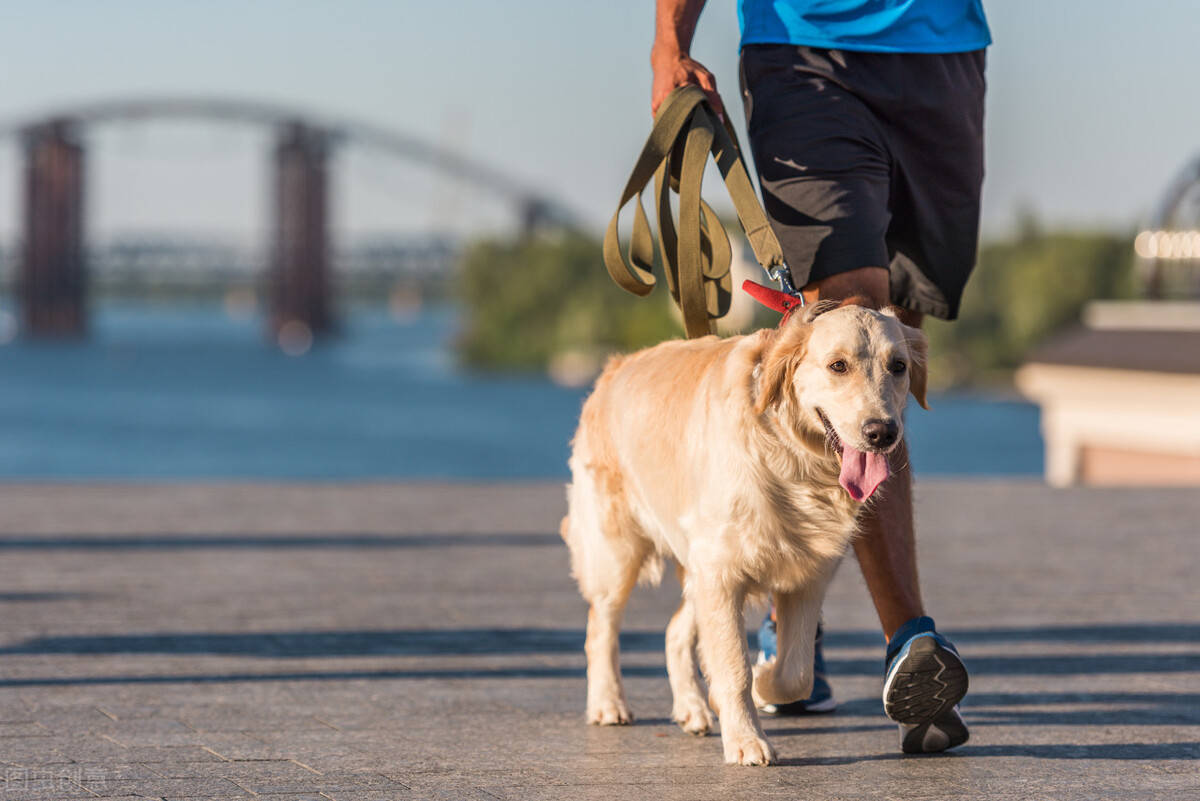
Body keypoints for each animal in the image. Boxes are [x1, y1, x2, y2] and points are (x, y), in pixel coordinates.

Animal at [561, 298, 926, 762]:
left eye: (898, 366)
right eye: (838, 366)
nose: (881, 432)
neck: (795, 461)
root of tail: (614, 366)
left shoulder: (806, 576)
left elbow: (797, 673)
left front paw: (764, 683)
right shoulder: (721, 571)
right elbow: (734, 666)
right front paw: (747, 740)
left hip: (694, 565)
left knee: (674, 631)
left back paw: (693, 707)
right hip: (618, 551)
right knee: (600, 628)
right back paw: (608, 703)